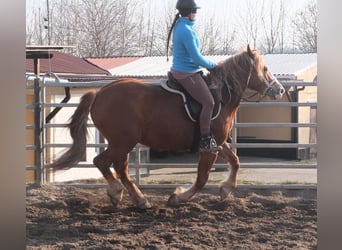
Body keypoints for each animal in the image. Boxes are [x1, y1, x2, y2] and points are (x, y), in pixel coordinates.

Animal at [46, 45, 284, 209]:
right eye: (265, 68)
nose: (280, 90)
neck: (221, 95)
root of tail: (100, 93)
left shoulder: (218, 141)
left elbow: (235, 161)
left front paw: (226, 189)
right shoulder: (208, 147)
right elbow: (201, 178)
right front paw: (178, 197)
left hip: (121, 143)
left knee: (119, 167)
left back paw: (134, 198)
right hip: (122, 142)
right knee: (103, 162)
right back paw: (124, 194)